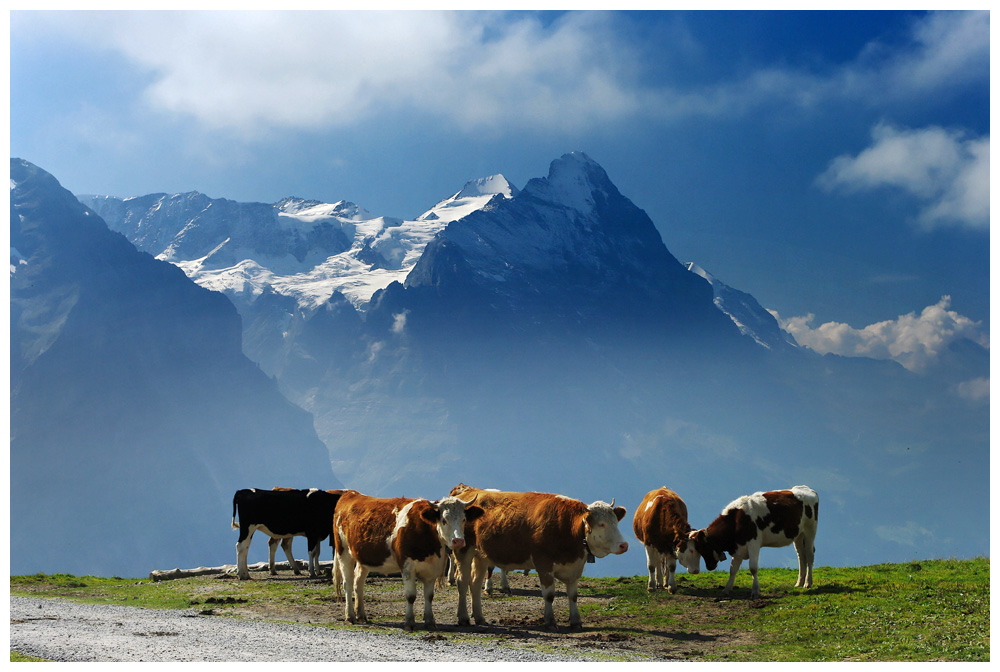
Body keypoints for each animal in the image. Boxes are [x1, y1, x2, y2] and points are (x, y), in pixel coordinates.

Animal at [334, 494, 486, 632]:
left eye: (464, 519)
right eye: (444, 520)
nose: (458, 541)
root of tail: (350, 494)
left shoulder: (432, 568)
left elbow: (429, 596)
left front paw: (430, 622)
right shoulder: (407, 566)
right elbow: (411, 596)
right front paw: (409, 622)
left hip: (363, 558)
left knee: (358, 582)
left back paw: (361, 615)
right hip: (344, 552)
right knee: (348, 583)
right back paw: (350, 617)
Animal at [452, 484, 624, 632]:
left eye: (616, 522)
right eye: (601, 524)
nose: (624, 545)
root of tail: (468, 492)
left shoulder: (574, 568)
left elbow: (573, 596)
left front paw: (576, 621)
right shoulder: (544, 563)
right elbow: (549, 594)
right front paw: (550, 622)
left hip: (480, 556)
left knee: (475, 584)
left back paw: (479, 617)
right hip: (463, 551)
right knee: (463, 582)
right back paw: (463, 618)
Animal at [672, 484, 820, 600]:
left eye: (699, 548)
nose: (709, 567)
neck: (736, 520)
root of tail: (807, 489)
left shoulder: (753, 543)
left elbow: (753, 568)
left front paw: (755, 592)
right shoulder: (738, 548)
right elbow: (733, 569)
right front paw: (726, 590)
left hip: (810, 530)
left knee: (809, 556)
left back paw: (808, 583)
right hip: (798, 535)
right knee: (801, 557)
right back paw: (799, 583)